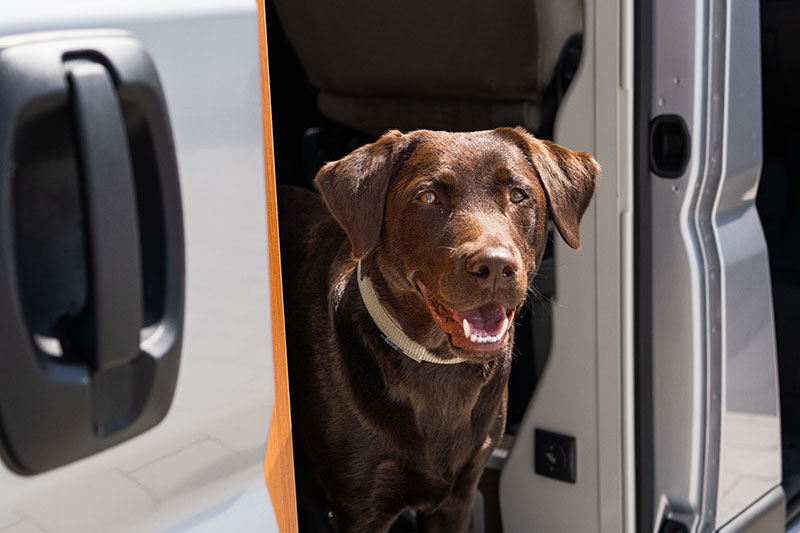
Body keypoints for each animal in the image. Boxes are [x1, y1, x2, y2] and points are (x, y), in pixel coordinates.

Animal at [278, 127, 596, 528]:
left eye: (518, 195)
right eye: (428, 197)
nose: (495, 267)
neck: (437, 367)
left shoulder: (459, 495)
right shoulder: (360, 505)